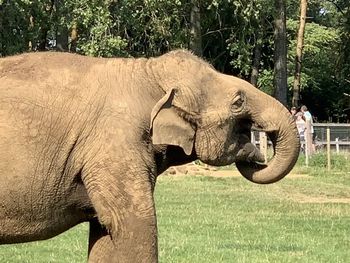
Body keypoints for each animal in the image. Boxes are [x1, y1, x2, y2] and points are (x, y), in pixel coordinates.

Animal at [0, 49, 300, 262]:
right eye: (238, 102)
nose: (257, 155)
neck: (147, 71)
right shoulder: (115, 142)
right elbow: (135, 223)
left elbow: (105, 229)